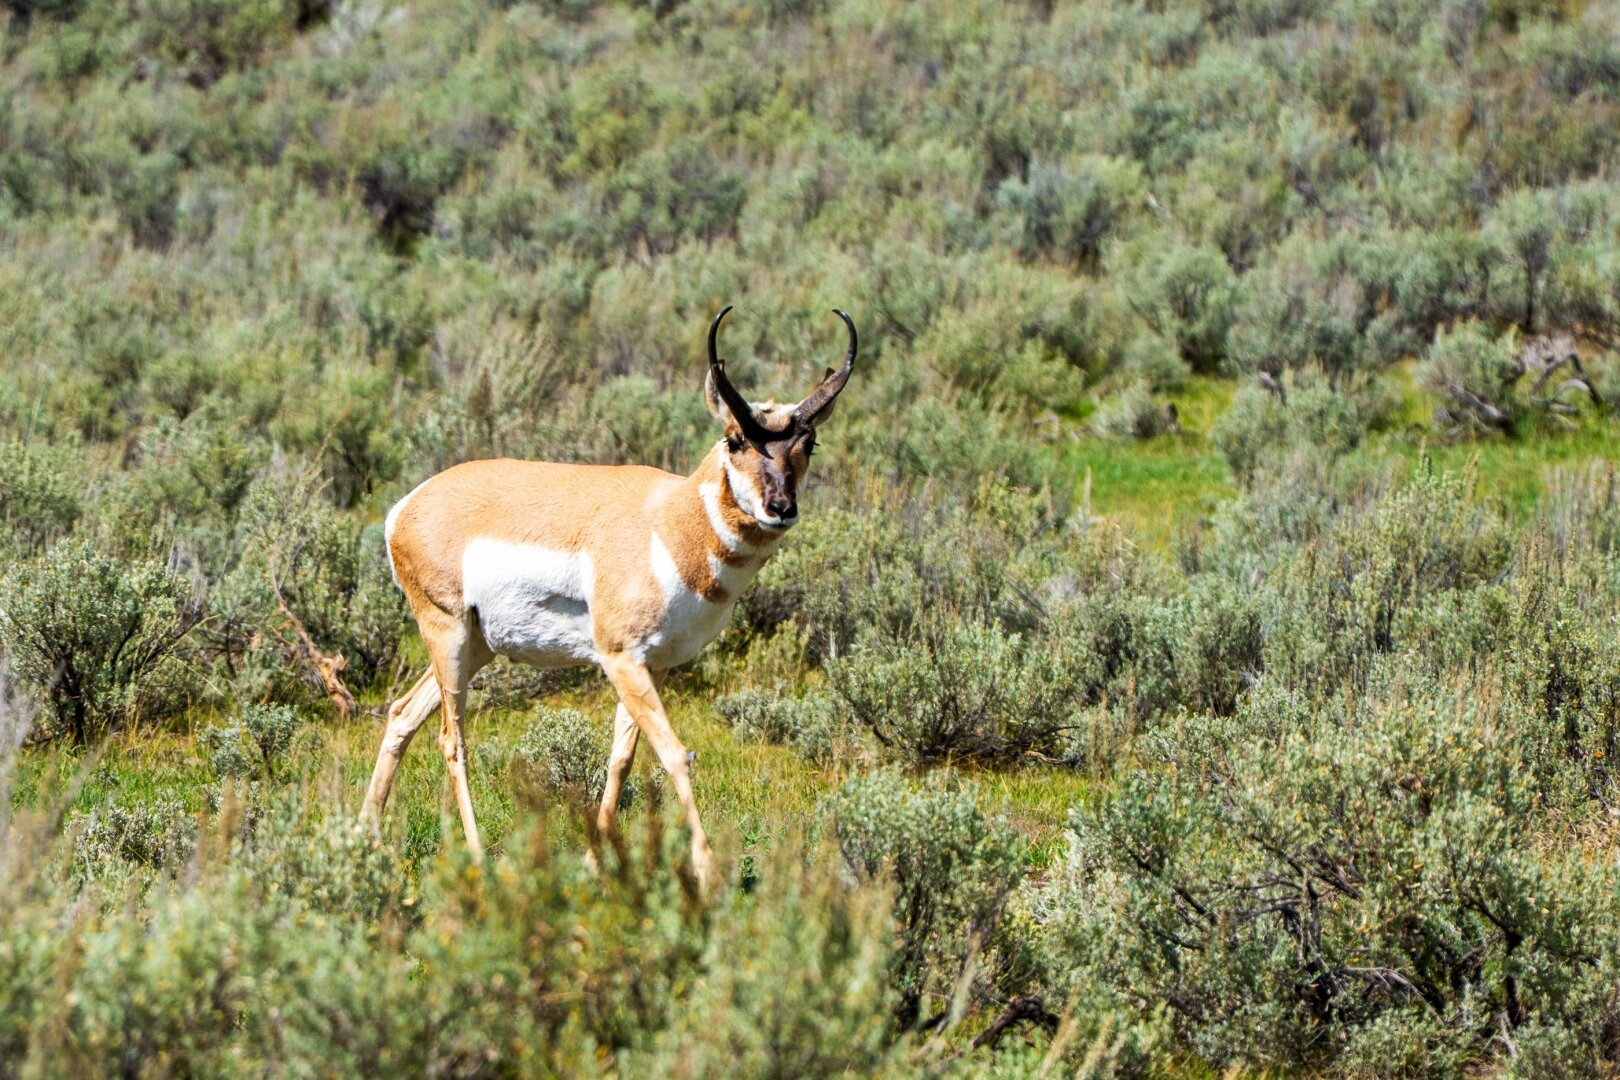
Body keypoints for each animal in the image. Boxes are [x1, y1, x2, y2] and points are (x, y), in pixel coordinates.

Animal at [360, 307, 858, 888]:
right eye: (735, 439)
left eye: (808, 444)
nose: (781, 507)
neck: (669, 520)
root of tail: (406, 507)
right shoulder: (620, 659)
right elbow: (674, 754)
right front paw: (708, 873)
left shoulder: (651, 665)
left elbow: (621, 757)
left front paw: (595, 862)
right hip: (450, 636)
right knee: (450, 739)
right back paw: (479, 859)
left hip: (477, 647)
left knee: (402, 714)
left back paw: (365, 837)